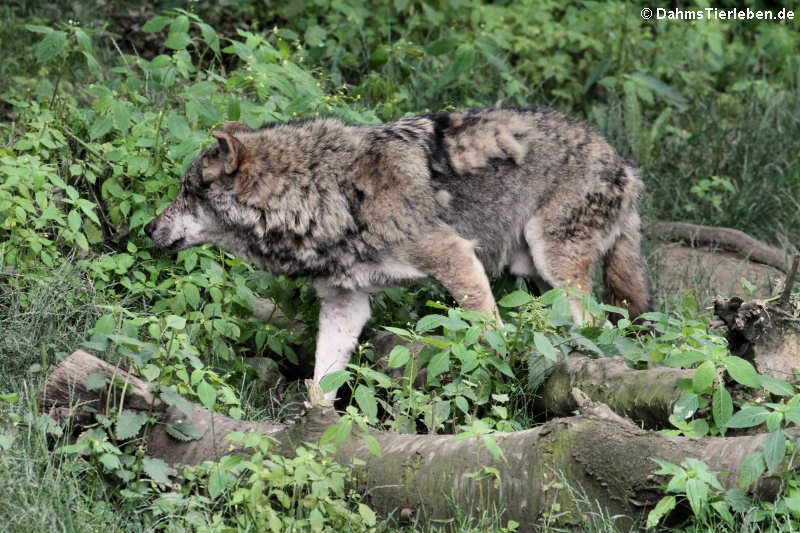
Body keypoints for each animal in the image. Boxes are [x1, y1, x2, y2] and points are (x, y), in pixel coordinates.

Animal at [145, 108, 648, 396]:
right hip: (541, 279)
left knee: (602, 328)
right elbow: (321, 383)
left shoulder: (456, 257)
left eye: (188, 192)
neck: (329, 193)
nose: (148, 228)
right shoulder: (344, 304)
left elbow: (489, 334)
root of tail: (625, 164)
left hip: (555, 269)